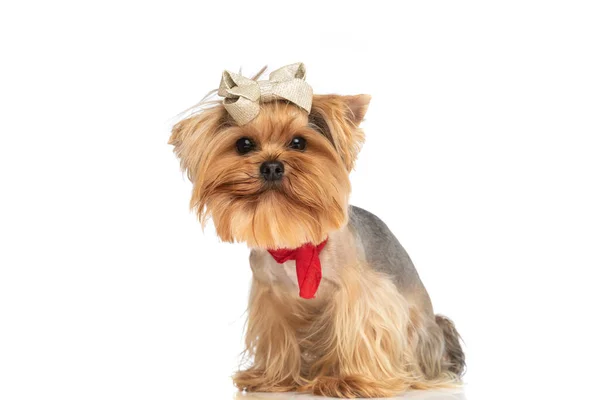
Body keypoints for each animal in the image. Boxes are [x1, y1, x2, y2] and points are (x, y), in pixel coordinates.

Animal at [169, 62, 464, 396]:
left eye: (299, 143)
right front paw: (272, 379)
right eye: (244, 144)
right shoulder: (271, 298)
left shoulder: (360, 296)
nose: (272, 165)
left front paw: (352, 381)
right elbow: (278, 338)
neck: (296, 243)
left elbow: (358, 332)